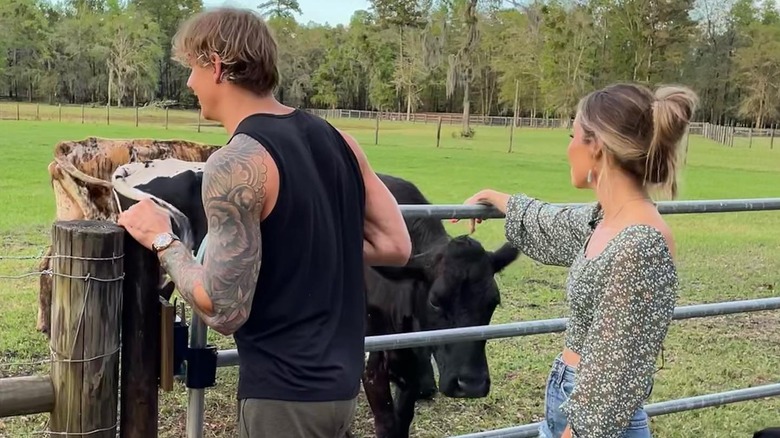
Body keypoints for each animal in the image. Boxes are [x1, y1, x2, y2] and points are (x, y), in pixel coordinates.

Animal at [364, 174, 520, 438]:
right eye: (435, 301)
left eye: (493, 302)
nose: (471, 384)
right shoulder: (372, 362)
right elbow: (386, 423)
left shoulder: (413, 360)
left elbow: (403, 418)